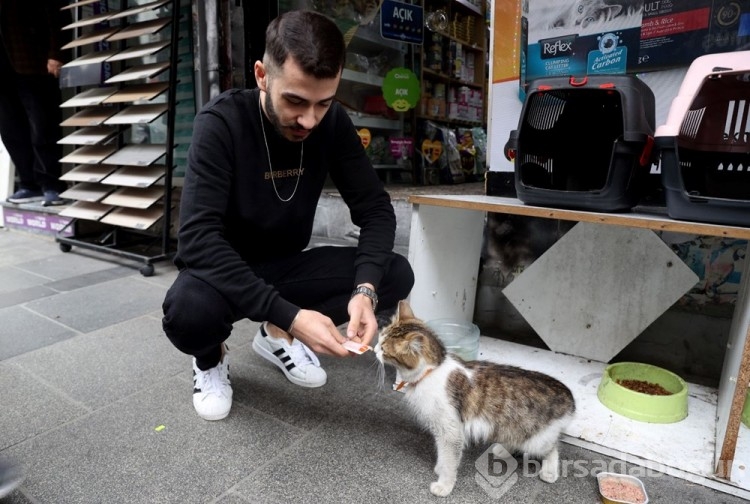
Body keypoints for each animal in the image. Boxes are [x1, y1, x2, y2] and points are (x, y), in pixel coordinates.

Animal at [378, 302, 580, 498]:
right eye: (380, 338)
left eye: (384, 349)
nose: (375, 349)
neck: (432, 370)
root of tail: (566, 393)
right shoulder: (442, 430)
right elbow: (443, 455)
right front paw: (440, 469)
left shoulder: (451, 431)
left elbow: (449, 459)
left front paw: (445, 484)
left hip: (536, 440)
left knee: (552, 448)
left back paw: (549, 471)